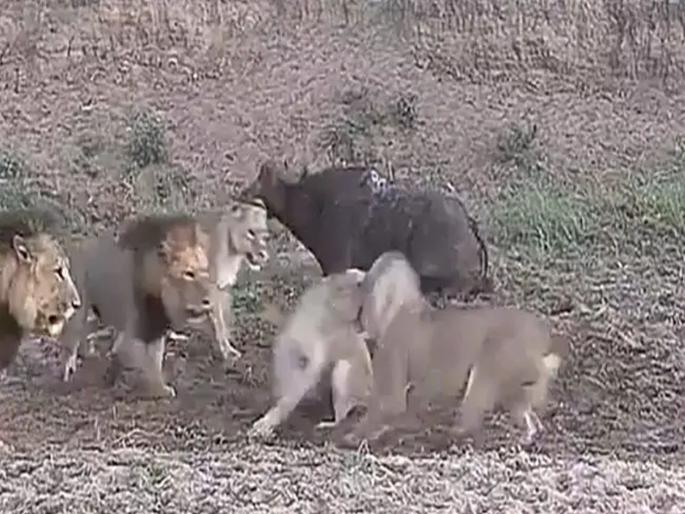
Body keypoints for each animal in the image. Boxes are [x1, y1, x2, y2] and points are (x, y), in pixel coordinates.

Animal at [57, 213, 214, 398]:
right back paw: (69, 368)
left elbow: (154, 360)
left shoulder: (155, 328)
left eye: (205, 270)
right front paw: (154, 388)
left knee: (87, 332)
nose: (209, 299)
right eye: (189, 273)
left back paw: (89, 352)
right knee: (72, 339)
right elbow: (141, 360)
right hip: (80, 309)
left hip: (99, 314)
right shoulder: (136, 331)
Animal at [349, 251, 570, 446]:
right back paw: (531, 431)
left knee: (485, 369)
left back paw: (458, 432)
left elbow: (391, 403)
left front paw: (357, 434)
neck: (403, 305)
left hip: (511, 352)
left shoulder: (393, 344)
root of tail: (542, 339)